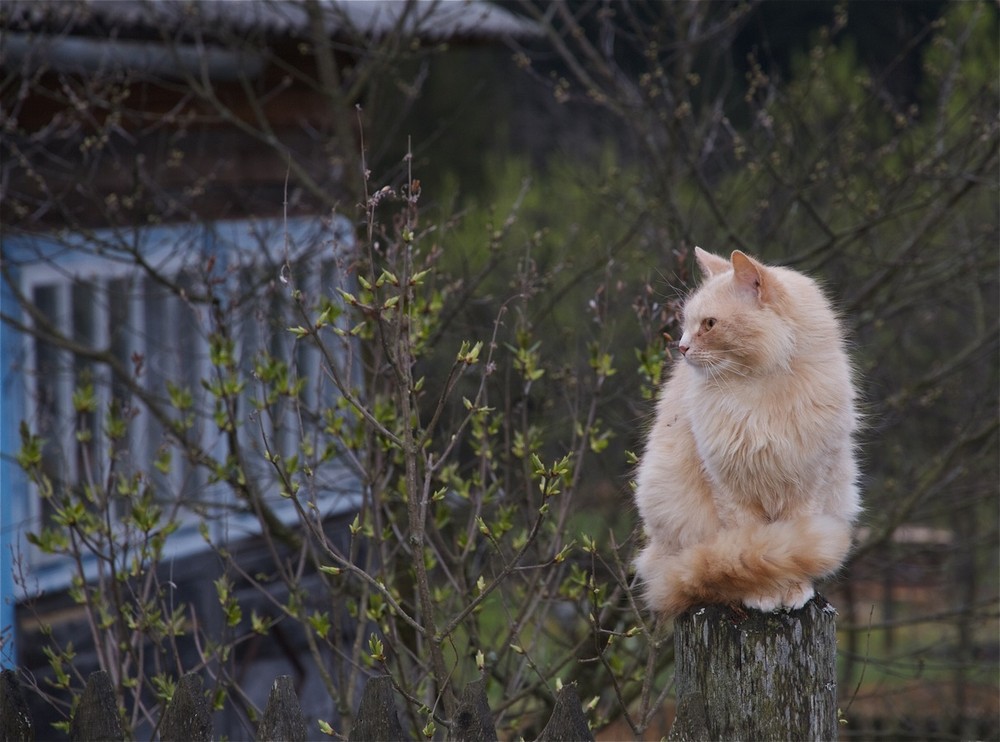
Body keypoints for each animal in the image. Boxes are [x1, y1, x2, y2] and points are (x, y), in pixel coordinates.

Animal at [632, 247, 860, 612]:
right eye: (686, 324)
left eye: (709, 324)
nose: (681, 347)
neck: (761, 389)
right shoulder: (730, 487)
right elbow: (753, 549)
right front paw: (763, 594)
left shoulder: (808, 484)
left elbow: (789, 545)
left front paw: (793, 591)